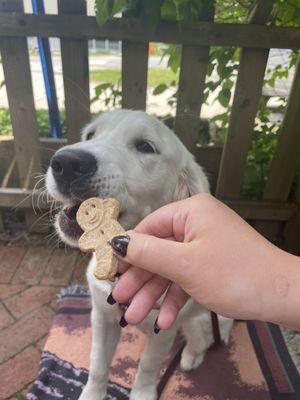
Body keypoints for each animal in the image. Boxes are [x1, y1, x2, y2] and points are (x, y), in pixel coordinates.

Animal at [46, 109, 234, 400]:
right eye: (90, 135)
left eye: (145, 146)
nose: (66, 162)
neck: (120, 273)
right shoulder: (101, 316)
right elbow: (97, 364)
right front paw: (93, 393)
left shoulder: (164, 329)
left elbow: (147, 365)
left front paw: (142, 393)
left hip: (203, 322)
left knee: (201, 342)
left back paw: (190, 358)